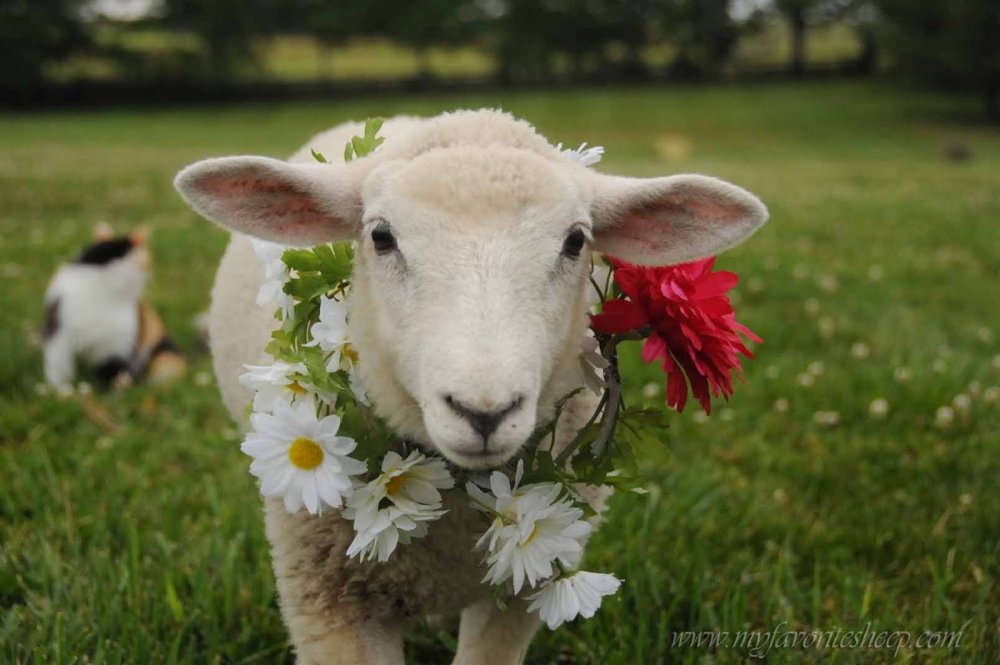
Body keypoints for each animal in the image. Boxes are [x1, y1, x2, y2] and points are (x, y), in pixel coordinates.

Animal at [42, 224, 187, 386]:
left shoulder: (117, 345)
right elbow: (58, 366)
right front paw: (61, 389)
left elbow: (111, 374)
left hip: (165, 359)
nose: (150, 274)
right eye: (148, 260)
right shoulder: (58, 330)